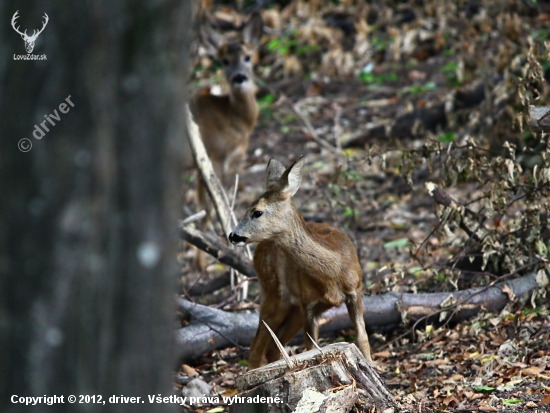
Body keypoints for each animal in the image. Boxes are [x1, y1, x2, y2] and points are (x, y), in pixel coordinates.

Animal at [188, 12, 266, 270]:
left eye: (248, 56)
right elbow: (207, 208)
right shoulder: (212, 157)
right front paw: (205, 261)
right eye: (223, 61)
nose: (239, 77)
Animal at [229, 155, 376, 366]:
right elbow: (311, 347)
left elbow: (362, 336)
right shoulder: (308, 304)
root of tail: (258, 252)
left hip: (291, 307)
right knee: (257, 345)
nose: (232, 236)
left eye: (257, 212)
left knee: (272, 346)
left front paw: (372, 365)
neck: (335, 271)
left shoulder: (355, 290)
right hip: (274, 294)